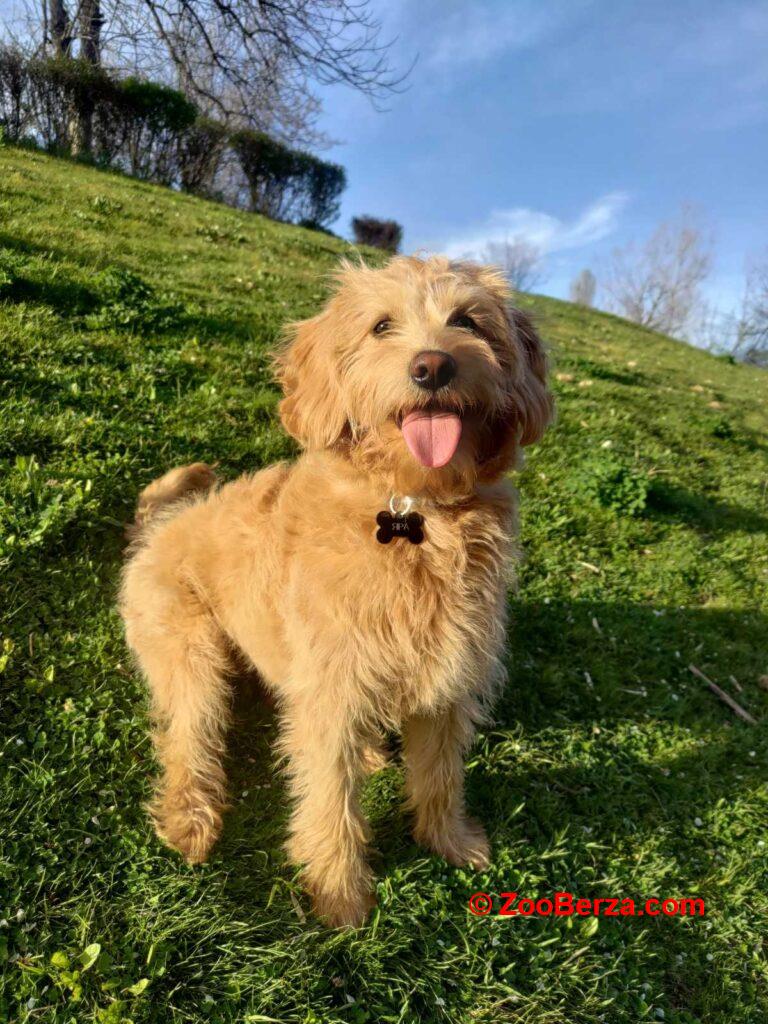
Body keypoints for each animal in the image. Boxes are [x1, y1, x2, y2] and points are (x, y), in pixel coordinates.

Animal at [120, 253, 552, 929]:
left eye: (468, 320)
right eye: (381, 327)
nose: (432, 366)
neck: (413, 515)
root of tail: (156, 526)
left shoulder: (450, 681)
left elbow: (440, 773)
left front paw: (451, 841)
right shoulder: (331, 691)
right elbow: (329, 798)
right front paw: (341, 894)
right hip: (191, 653)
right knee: (187, 736)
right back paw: (190, 819)